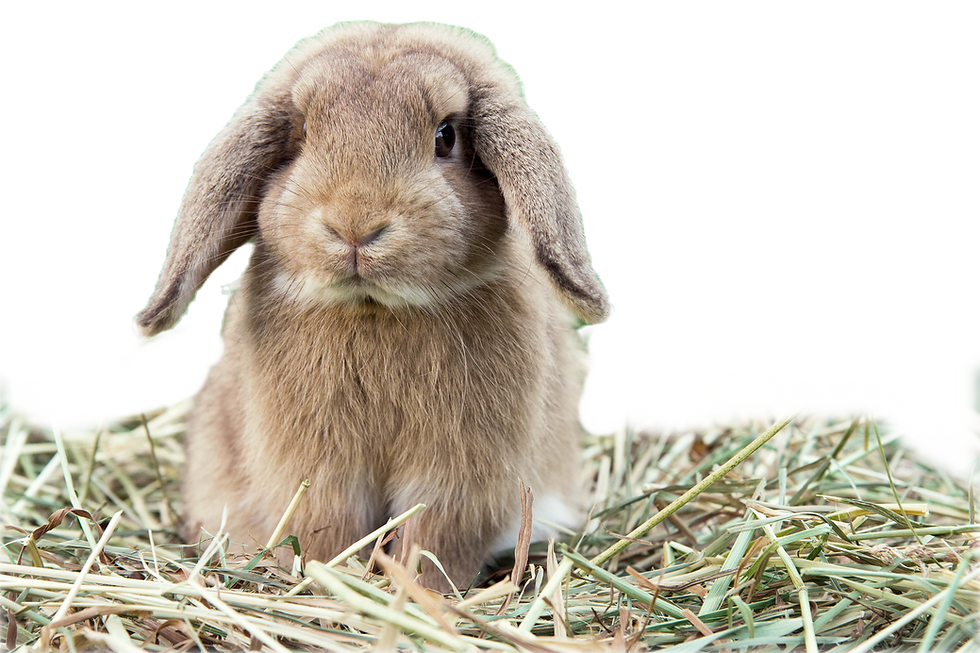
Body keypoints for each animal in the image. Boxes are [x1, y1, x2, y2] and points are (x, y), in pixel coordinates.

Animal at [132, 18, 612, 590]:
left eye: (445, 136)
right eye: (303, 133)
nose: (355, 227)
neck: (375, 309)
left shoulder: (459, 475)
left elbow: (433, 539)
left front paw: (418, 591)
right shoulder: (320, 471)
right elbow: (328, 529)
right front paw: (331, 580)